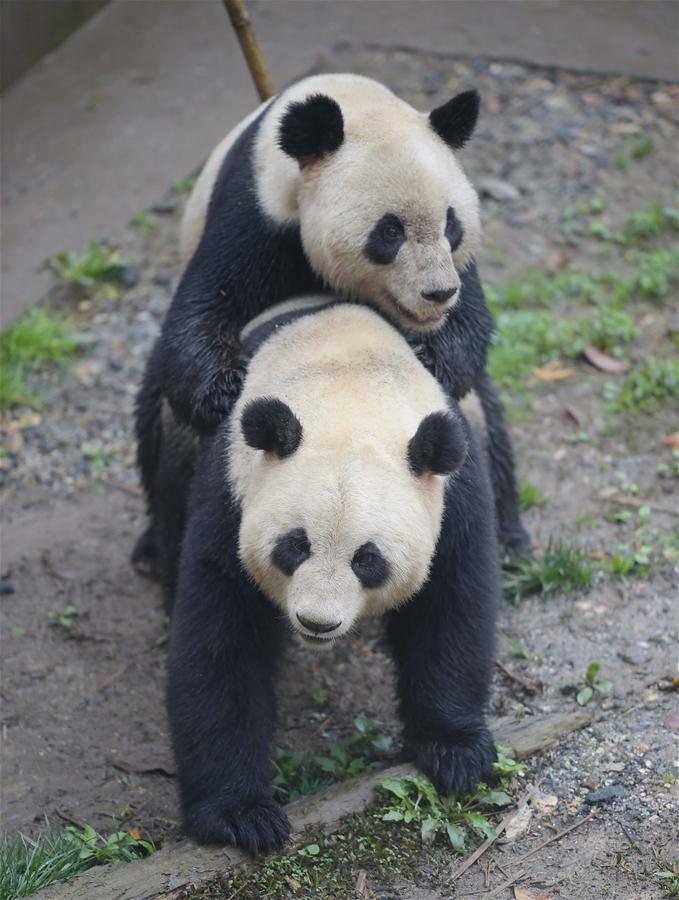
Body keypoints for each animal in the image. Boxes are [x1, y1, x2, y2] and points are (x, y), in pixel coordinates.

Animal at [137, 75, 532, 584]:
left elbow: (471, 330)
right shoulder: (253, 214)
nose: (438, 293)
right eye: (390, 232)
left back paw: (511, 541)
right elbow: (200, 310)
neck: (350, 103)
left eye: (451, 223)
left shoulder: (459, 269)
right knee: (155, 408)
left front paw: (430, 355)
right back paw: (150, 550)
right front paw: (226, 390)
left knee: (487, 421)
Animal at [158, 298, 500, 856]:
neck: (348, 390)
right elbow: (221, 639)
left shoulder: (453, 495)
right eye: (296, 545)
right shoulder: (231, 489)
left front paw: (456, 752)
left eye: (368, 559)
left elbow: (451, 609)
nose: (317, 623)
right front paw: (240, 813)